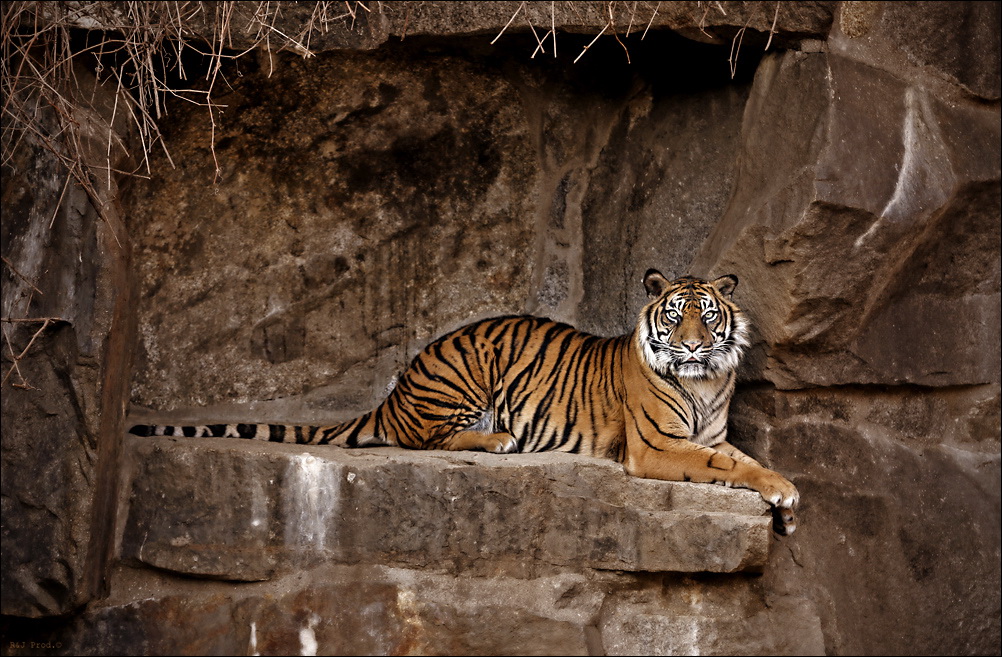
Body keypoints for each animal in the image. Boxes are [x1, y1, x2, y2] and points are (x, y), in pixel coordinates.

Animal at [131, 272, 797, 532]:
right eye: (676, 316)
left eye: (708, 315)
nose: (693, 346)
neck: (706, 381)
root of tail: (394, 392)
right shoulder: (657, 447)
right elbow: (725, 467)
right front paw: (784, 495)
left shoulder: (710, 435)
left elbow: (740, 460)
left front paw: (783, 500)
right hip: (469, 371)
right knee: (427, 439)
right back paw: (499, 439)